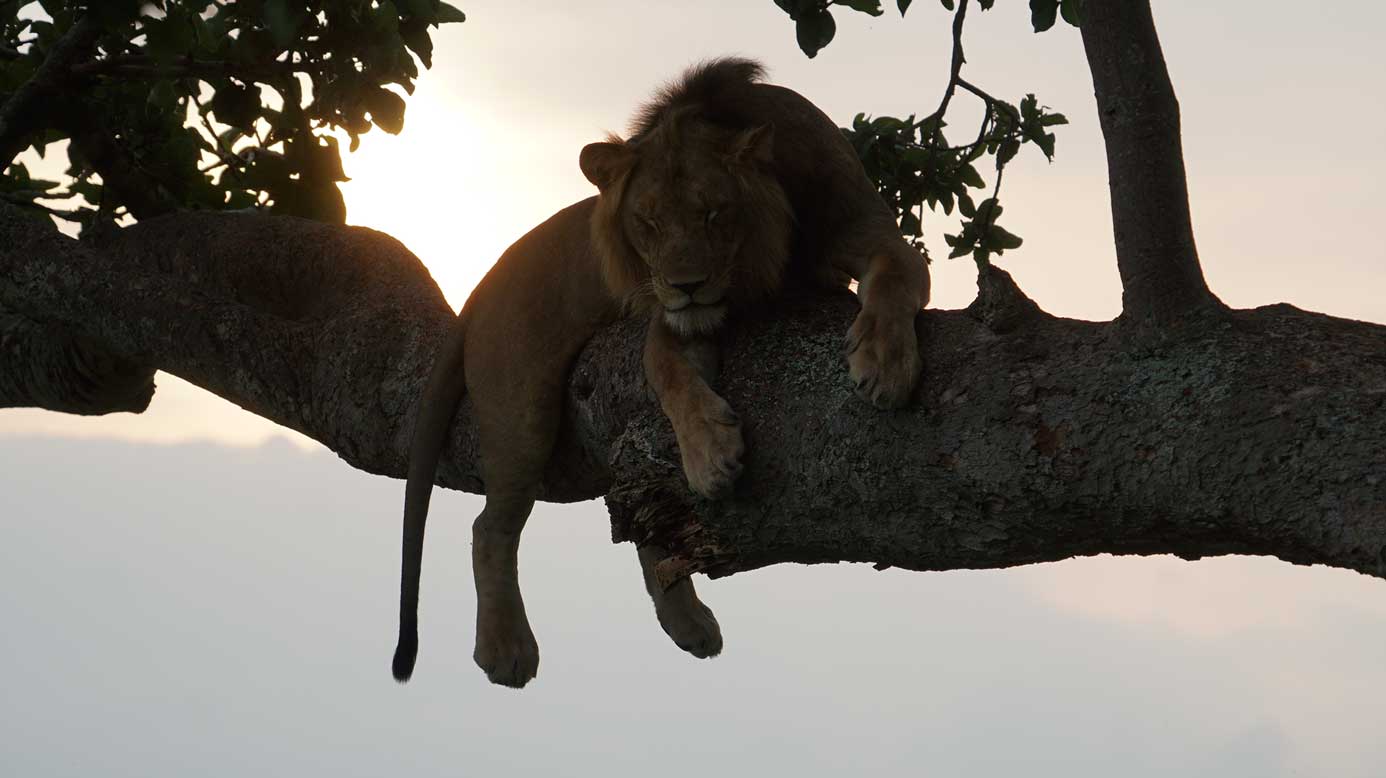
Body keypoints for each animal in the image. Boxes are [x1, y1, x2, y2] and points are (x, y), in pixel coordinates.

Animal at [393, 58, 929, 688]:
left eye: (713, 213)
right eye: (647, 221)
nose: (685, 285)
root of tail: (480, 287)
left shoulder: (863, 226)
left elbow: (895, 270)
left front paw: (885, 363)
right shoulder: (669, 320)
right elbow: (669, 372)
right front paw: (710, 456)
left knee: (651, 523)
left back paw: (687, 623)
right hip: (519, 409)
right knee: (492, 527)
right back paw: (505, 646)